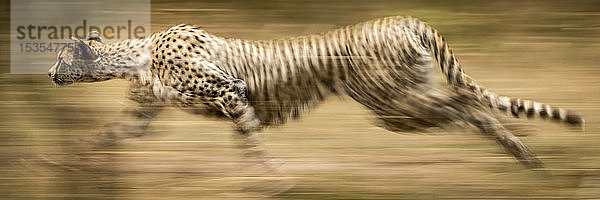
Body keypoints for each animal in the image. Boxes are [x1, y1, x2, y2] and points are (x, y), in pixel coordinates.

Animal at [49, 16, 584, 168]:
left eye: (61, 57)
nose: (51, 74)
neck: (135, 54)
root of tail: (399, 18)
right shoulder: (144, 117)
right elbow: (106, 137)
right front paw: (64, 162)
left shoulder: (230, 91)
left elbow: (250, 141)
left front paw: (271, 178)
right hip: (398, 106)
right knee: (465, 109)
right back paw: (523, 153)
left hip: (392, 104)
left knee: (466, 102)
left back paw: (523, 141)